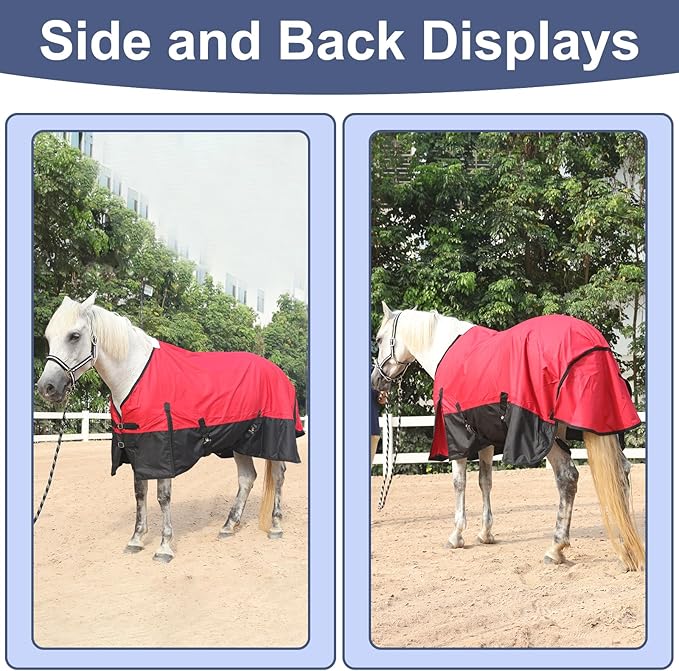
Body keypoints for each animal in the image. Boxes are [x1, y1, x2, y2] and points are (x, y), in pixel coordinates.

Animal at [36, 293, 304, 563]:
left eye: (74, 336)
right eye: (48, 338)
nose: (46, 387)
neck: (135, 375)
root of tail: (279, 373)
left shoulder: (162, 448)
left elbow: (163, 497)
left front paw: (164, 547)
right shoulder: (137, 448)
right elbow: (140, 493)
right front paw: (136, 540)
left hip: (273, 439)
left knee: (278, 476)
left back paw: (275, 526)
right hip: (239, 441)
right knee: (247, 478)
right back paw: (228, 526)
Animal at [371, 302, 645, 571]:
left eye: (380, 339)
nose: (376, 382)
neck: (445, 349)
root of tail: (591, 344)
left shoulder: (457, 434)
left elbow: (459, 483)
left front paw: (456, 535)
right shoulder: (485, 439)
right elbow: (485, 482)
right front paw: (486, 533)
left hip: (546, 436)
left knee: (567, 478)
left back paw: (556, 548)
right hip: (601, 429)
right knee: (620, 473)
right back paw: (628, 545)